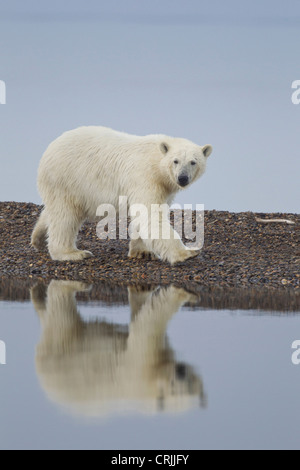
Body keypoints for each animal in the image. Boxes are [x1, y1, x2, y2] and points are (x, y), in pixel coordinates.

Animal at [31, 125, 212, 264]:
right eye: (175, 161)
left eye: (193, 162)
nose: (182, 178)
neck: (155, 161)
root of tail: (49, 149)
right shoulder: (144, 177)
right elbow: (150, 215)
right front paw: (186, 253)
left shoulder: (164, 187)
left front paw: (142, 252)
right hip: (66, 178)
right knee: (65, 216)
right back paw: (72, 253)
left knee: (54, 211)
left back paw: (38, 238)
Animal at [31, 280, 206, 414]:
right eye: (174, 388)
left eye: (191, 388)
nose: (180, 372)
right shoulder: (140, 364)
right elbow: (150, 321)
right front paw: (184, 294)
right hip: (62, 345)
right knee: (62, 310)